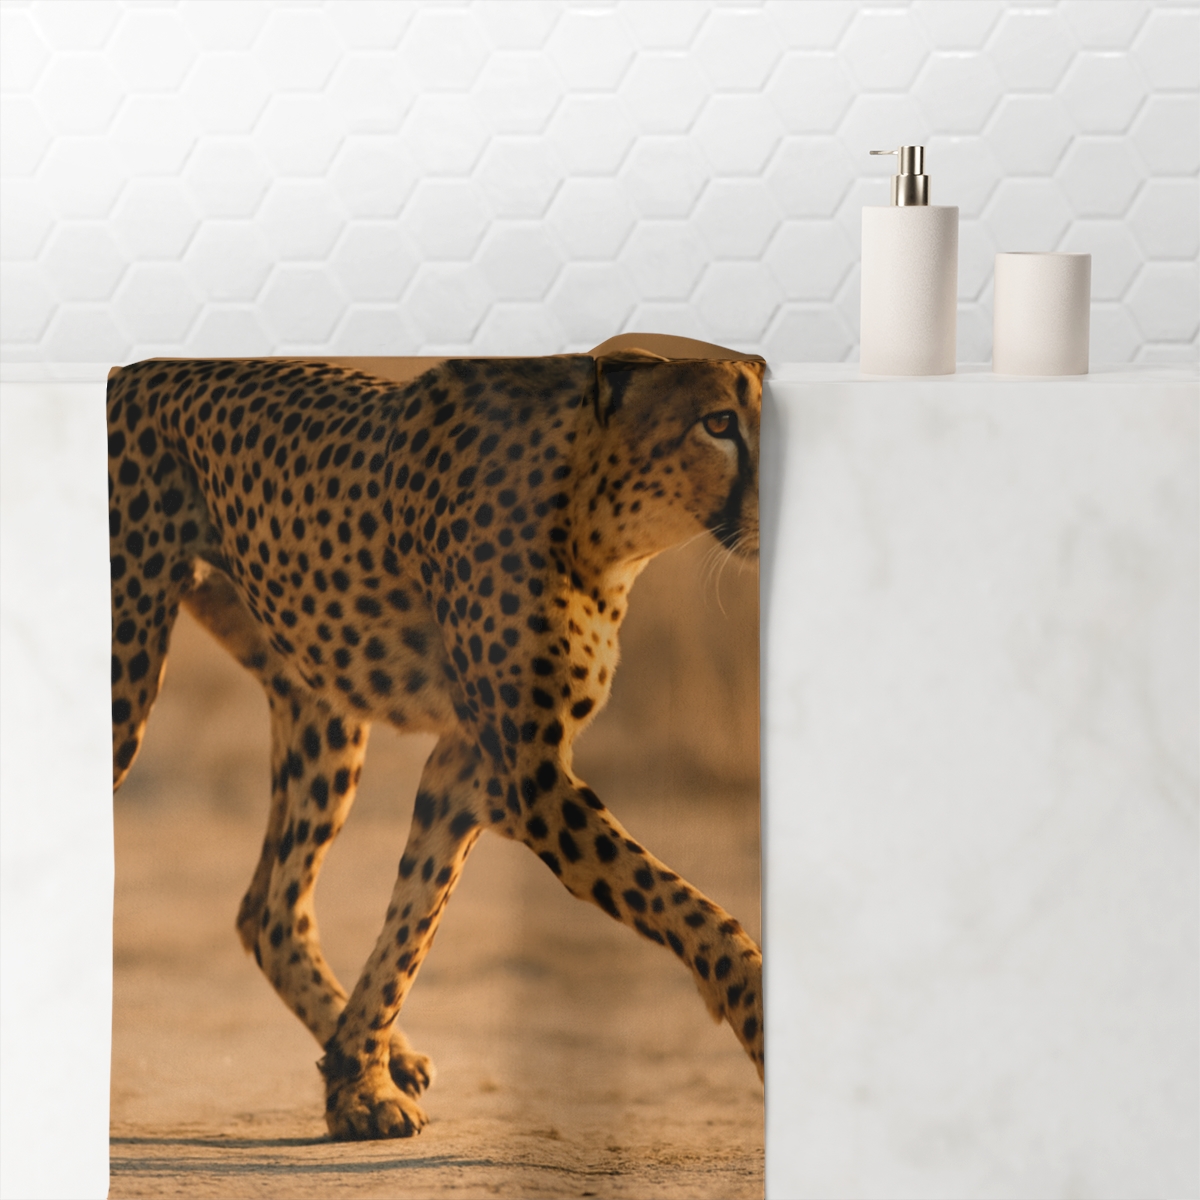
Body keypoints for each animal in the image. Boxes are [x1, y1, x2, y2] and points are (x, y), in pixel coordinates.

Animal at [107, 340, 765, 1140]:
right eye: (719, 423)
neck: (605, 519)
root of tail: (129, 369)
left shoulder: (468, 764)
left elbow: (415, 920)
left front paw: (358, 1082)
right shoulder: (526, 775)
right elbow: (690, 908)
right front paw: (761, 1020)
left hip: (319, 701)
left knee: (268, 909)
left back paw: (382, 1049)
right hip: (127, 673)